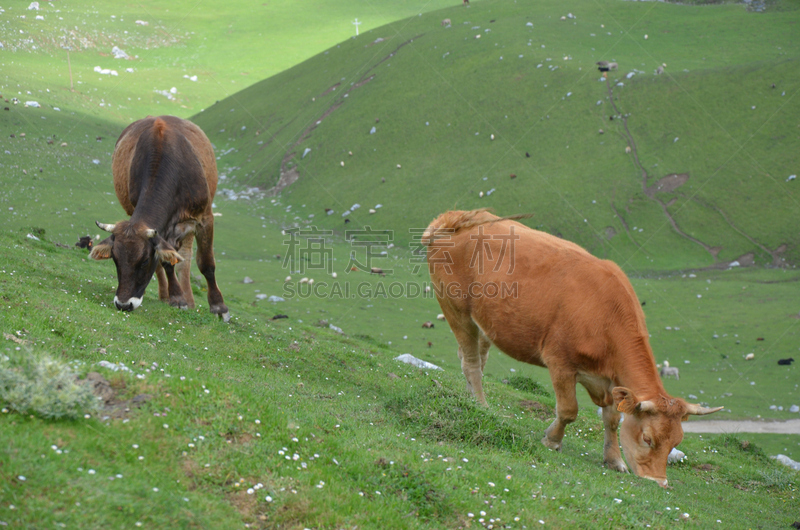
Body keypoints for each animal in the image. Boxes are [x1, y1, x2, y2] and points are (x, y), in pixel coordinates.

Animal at [90, 115, 228, 320]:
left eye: (144, 261)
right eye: (115, 259)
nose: (123, 304)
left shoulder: (205, 217)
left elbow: (206, 262)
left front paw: (219, 307)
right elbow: (166, 261)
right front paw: (177, 298)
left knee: (185, 259)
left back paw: (190, 299)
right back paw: (167, 295)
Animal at [422, 208, 720, 484]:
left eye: (675, 443)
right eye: (648, 439)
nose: (659, 482)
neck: (607, 316)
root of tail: (455, 218)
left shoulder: (613, 382)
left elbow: (612, 420)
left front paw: (614, 459)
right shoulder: (561, 362)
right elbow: (568, 410)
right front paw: (552, 440)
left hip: (484, 322)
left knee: (472, 360)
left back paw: (470, 399)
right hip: (456, 310)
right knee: (471, 363)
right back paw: (482, 406)